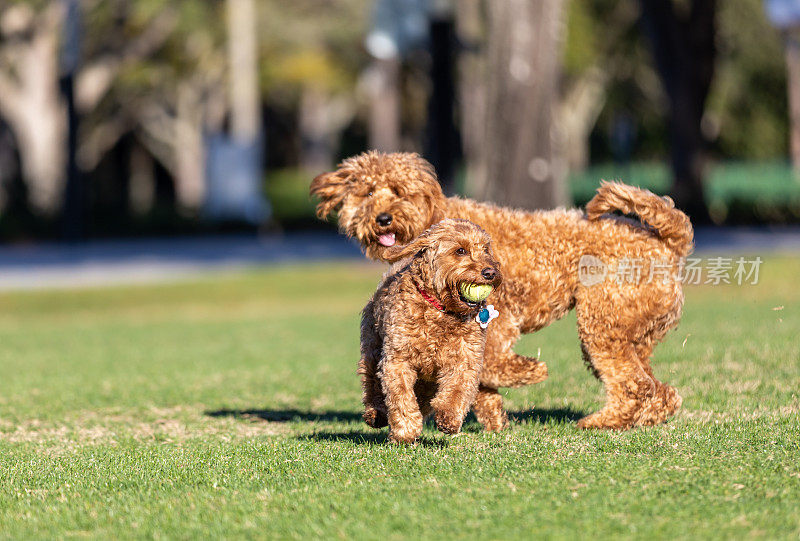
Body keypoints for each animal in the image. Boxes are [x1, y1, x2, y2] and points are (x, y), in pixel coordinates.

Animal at [360, 217, 500, 440]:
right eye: (460, 250)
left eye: (486, 249)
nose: (490, 272)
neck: (441, 310)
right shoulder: (397, 359)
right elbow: (401, 395)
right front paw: (405, 430)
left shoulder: (466, 357)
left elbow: (458, 388)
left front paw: (449, 418)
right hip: (372, 347)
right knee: (371, 382)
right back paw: (376, 414)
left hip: (426, 380)